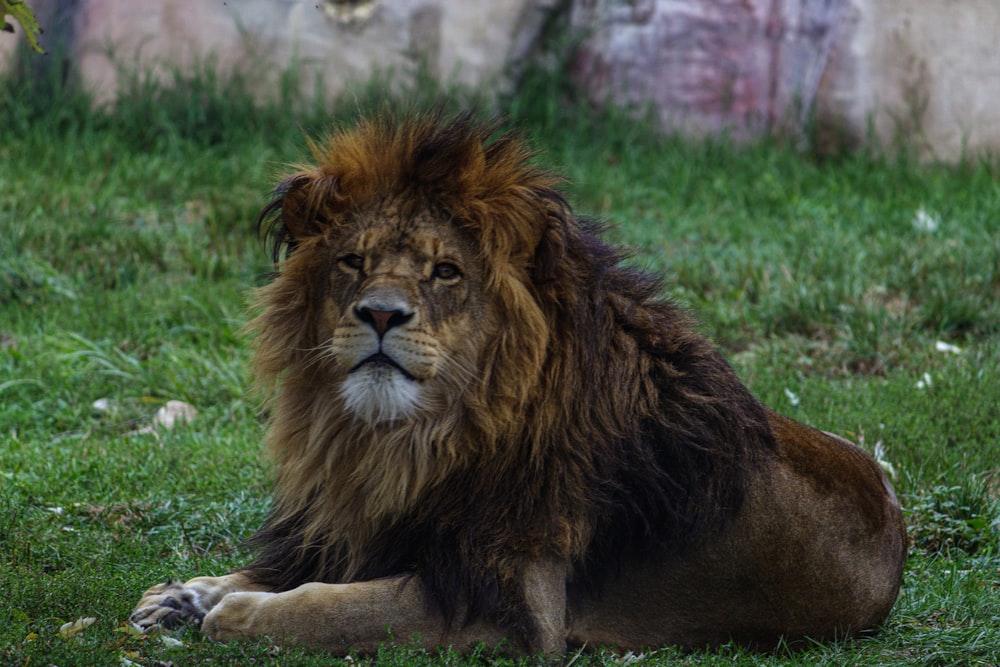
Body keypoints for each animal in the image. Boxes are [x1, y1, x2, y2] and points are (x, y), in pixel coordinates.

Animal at [129, 111, 912, 656]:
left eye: (446, 272)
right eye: (353, 261)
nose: (379, 312)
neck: (410, 440)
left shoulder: (515, 604)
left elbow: (340, 606)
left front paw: (236, 613)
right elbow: (282, 569)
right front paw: (187, 594)